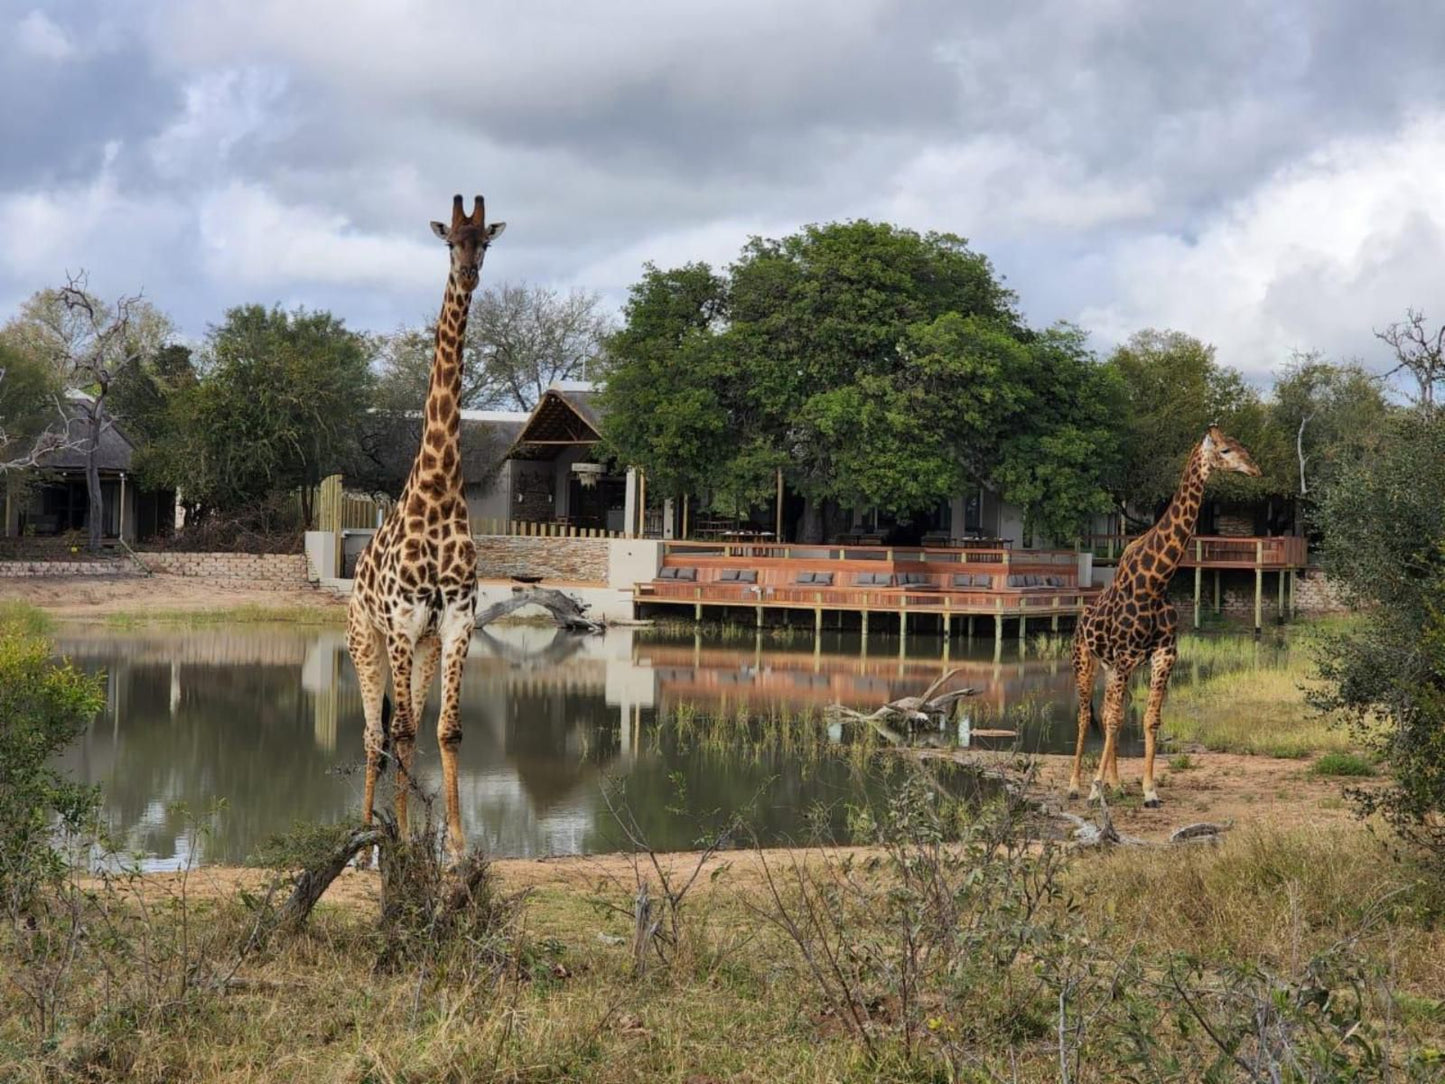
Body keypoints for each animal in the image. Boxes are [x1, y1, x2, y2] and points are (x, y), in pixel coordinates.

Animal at [1069, 424, 1260, 809]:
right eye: (1226, 450)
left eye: (1241, 445)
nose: (1255, 469)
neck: (1156, 582)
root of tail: (1080, 617)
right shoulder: (1126, 656)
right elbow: (1114, 719)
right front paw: (1095, 789)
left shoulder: (1163, 654)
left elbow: (1150, 719)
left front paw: (1148, 790)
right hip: (1085, 660)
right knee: (1085, 715)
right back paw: (1075, 785)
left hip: (1112, 667)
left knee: (1110, 712)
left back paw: (1116, 785)